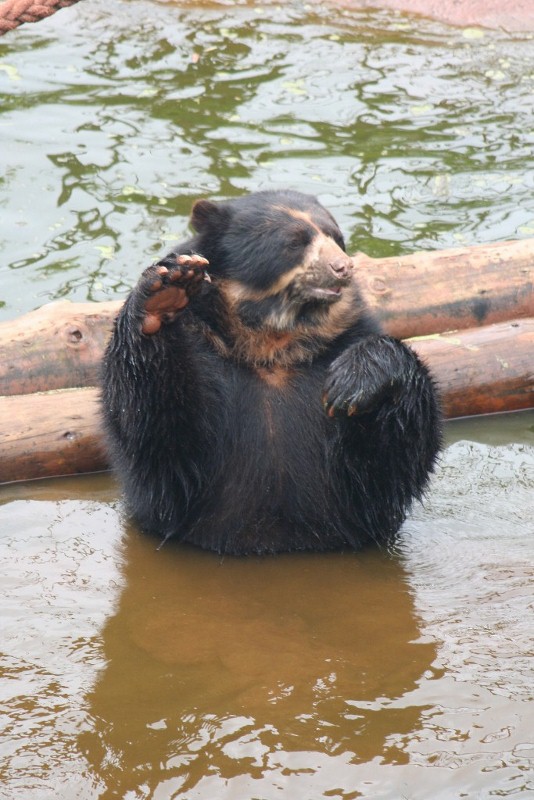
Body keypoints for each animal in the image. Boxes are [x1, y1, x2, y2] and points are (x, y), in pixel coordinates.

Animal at [101, 189, 442, 555]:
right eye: (294, 242)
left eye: (336, 237)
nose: (342, 268)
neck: (272, 345)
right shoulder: (207, 352)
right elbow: (160, 432)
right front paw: (166, 290)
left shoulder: (340, 342)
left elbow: (385, 464)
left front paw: (353, 385)